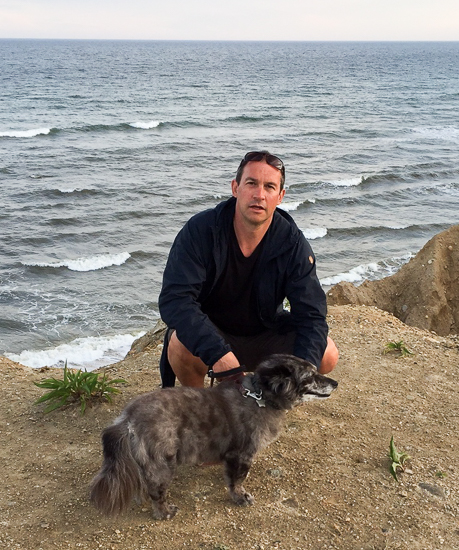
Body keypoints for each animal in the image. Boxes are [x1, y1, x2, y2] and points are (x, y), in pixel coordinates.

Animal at [89, 356, 338, 520]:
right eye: (310, 376)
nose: (335, 383)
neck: (260, 397)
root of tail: (129, 417)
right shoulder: (241, 454)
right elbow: (238, 480)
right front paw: (240, 497)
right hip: (163, 464)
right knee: (156, 492)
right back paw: (164, 512)